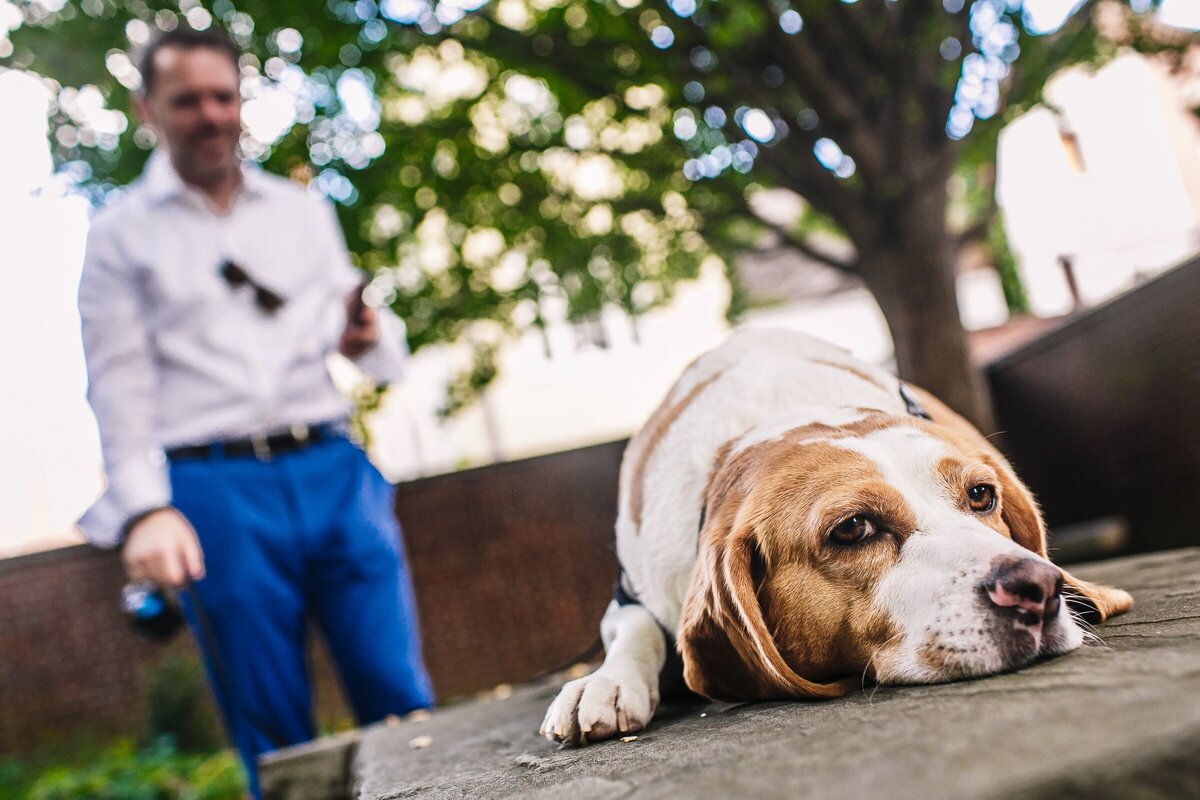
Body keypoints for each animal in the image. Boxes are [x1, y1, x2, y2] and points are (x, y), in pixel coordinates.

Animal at [540, 326, 1128, 743]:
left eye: (982, 495)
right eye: (853, 528)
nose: (1038, 588)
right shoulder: (632, 590)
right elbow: (635, 629)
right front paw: (605, 682)